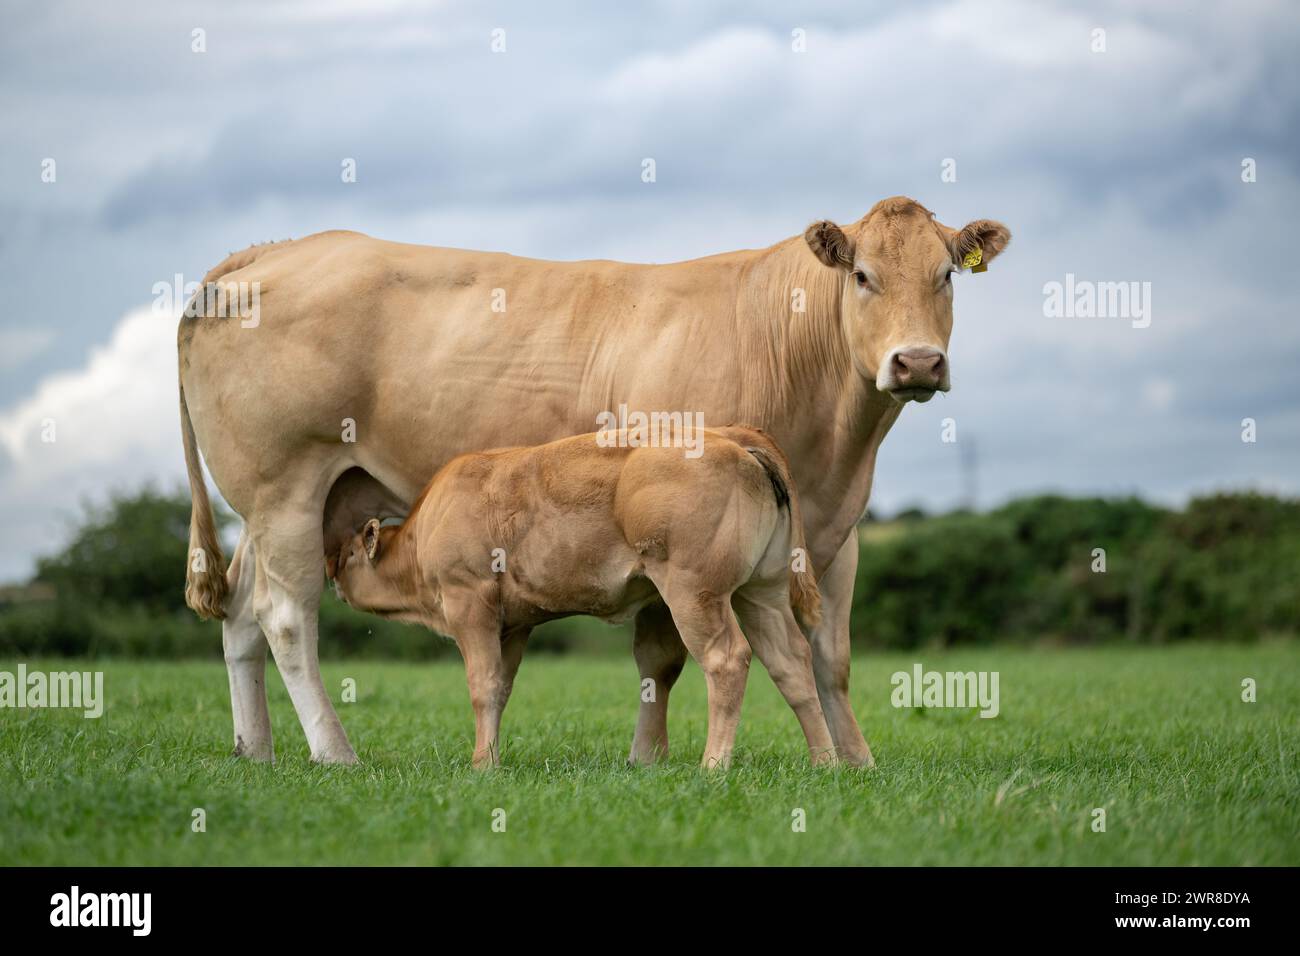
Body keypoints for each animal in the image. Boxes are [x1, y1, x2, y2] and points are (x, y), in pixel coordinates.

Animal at [326, 425, 831, 770]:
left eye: (349, 554)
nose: (331, 574)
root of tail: (729, 434)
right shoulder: (515, 623)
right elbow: (501, 687)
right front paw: (492, 758)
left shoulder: (468, 601)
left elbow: (482, 686)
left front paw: (481, 765)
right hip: (761, 593)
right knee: (791, 661)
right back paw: (825, 761)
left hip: (695, 593)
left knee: (727, 659)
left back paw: (713, 766)